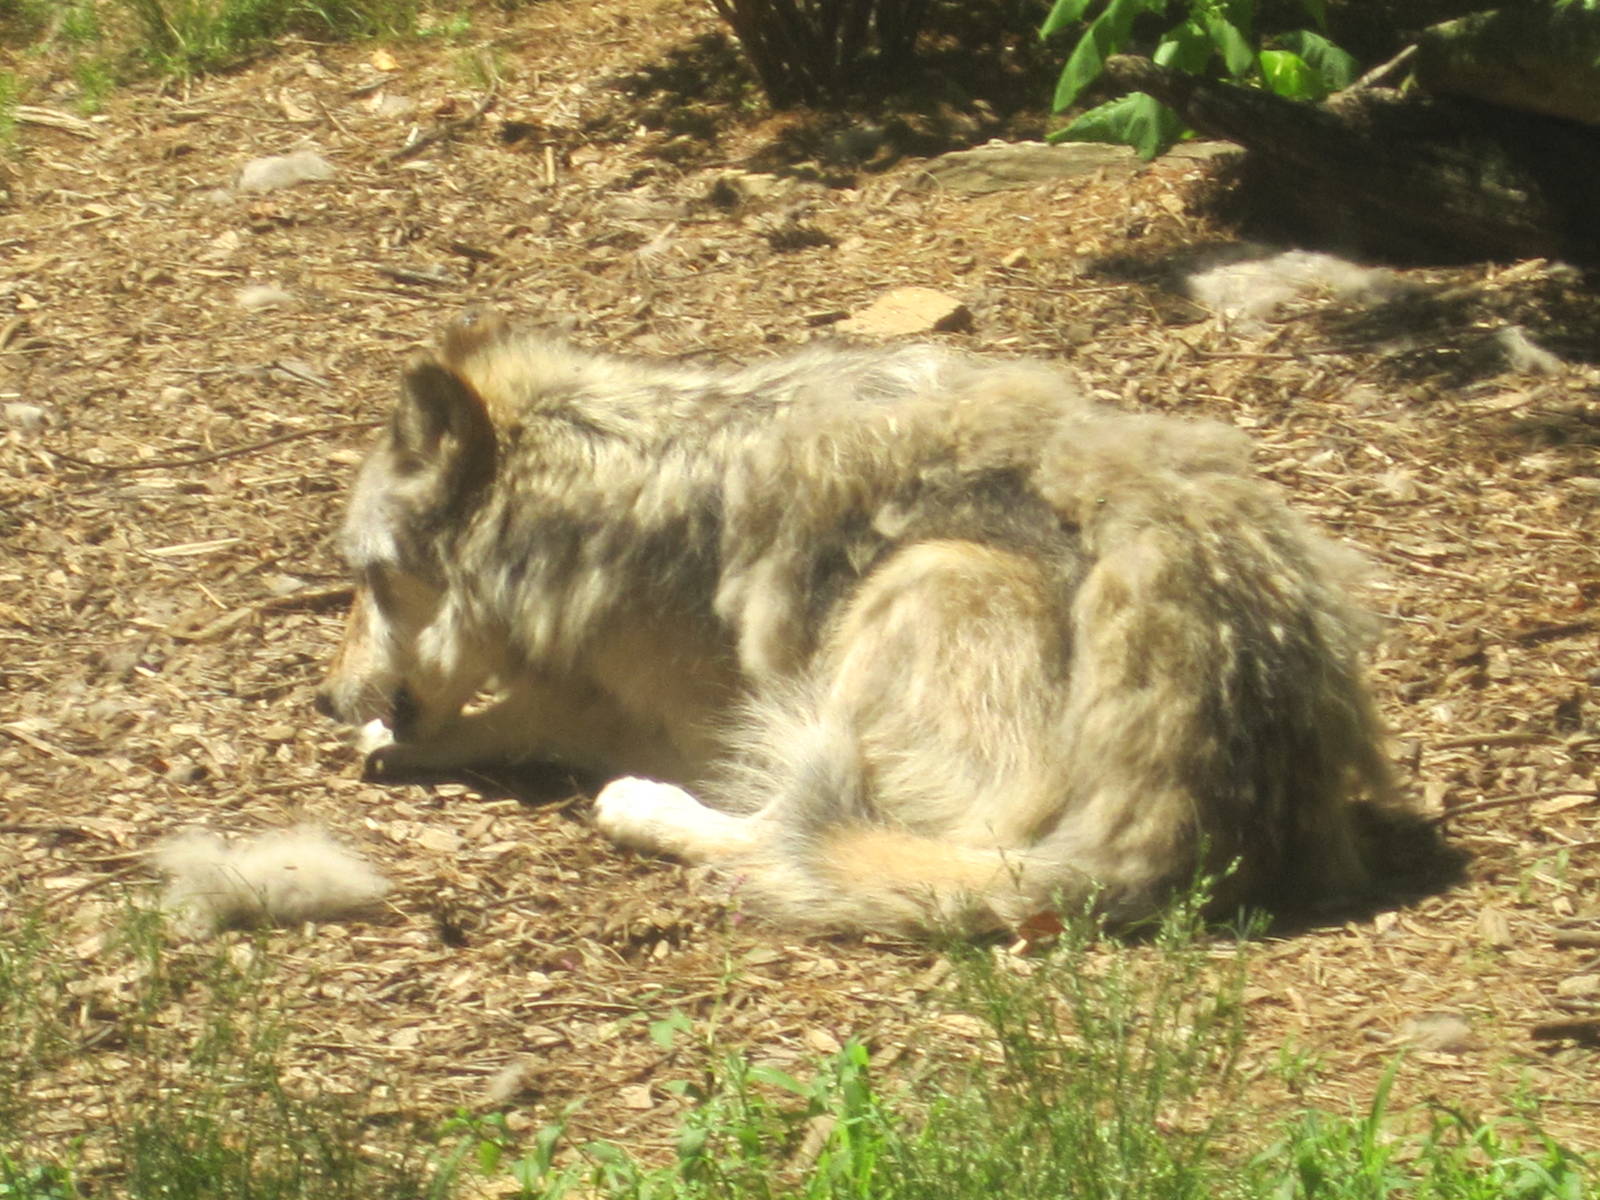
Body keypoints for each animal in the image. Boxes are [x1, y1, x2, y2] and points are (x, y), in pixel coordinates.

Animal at [317, 313, 1396, 934]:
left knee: (783, 839)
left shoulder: (674, 717)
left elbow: (535, 713)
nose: (322, 700)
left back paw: (640, 810)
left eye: (366, 578)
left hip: (919, 582)